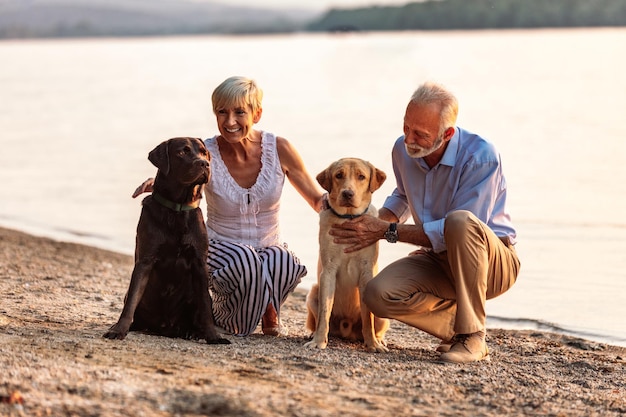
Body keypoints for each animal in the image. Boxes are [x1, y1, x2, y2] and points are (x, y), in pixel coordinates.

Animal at [102, 136, 229, 344]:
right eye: (182, 152)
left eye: (204, 152)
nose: (205, 163)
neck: (177, 208)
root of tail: (165, 328)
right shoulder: (146, 260)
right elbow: (131, 302)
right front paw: (119, 329)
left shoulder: (199, 263)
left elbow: (204, 305)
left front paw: (213, 336)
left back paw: (193, 332)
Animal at [304, 158, 388, 352]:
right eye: (339, 175)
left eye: (361, 176)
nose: (348, 193)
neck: (348, 219)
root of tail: (346, 328)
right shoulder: (328, 272)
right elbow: (324, 314)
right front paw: (318, 341)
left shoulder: (366, 272)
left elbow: (368, 317)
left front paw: (372, 344)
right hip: (313, 293)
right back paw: (313, 334)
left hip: (383, 315)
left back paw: (379, 340)